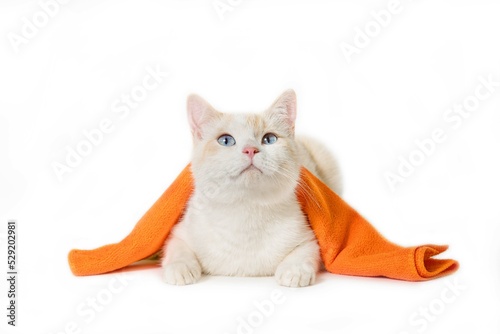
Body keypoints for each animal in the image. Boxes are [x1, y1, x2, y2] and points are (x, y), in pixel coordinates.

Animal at [162, 89, 342, 288]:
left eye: (269, 139)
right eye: (225, 140)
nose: (250, 150)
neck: (245, 210)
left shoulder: (308, 237)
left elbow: (305, 252)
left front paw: (294, 271)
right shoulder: (179, 233)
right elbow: (177, 249)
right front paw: (180, 269)